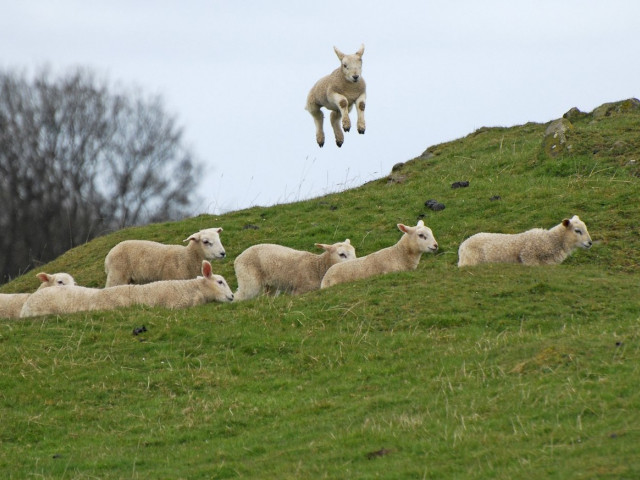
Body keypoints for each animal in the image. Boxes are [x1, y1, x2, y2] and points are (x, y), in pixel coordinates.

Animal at [458, 216, 592, 268]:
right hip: (471, 261)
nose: (590, 243)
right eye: (577, 230)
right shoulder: (529, 259)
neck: (550, 241)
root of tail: (463, 245)